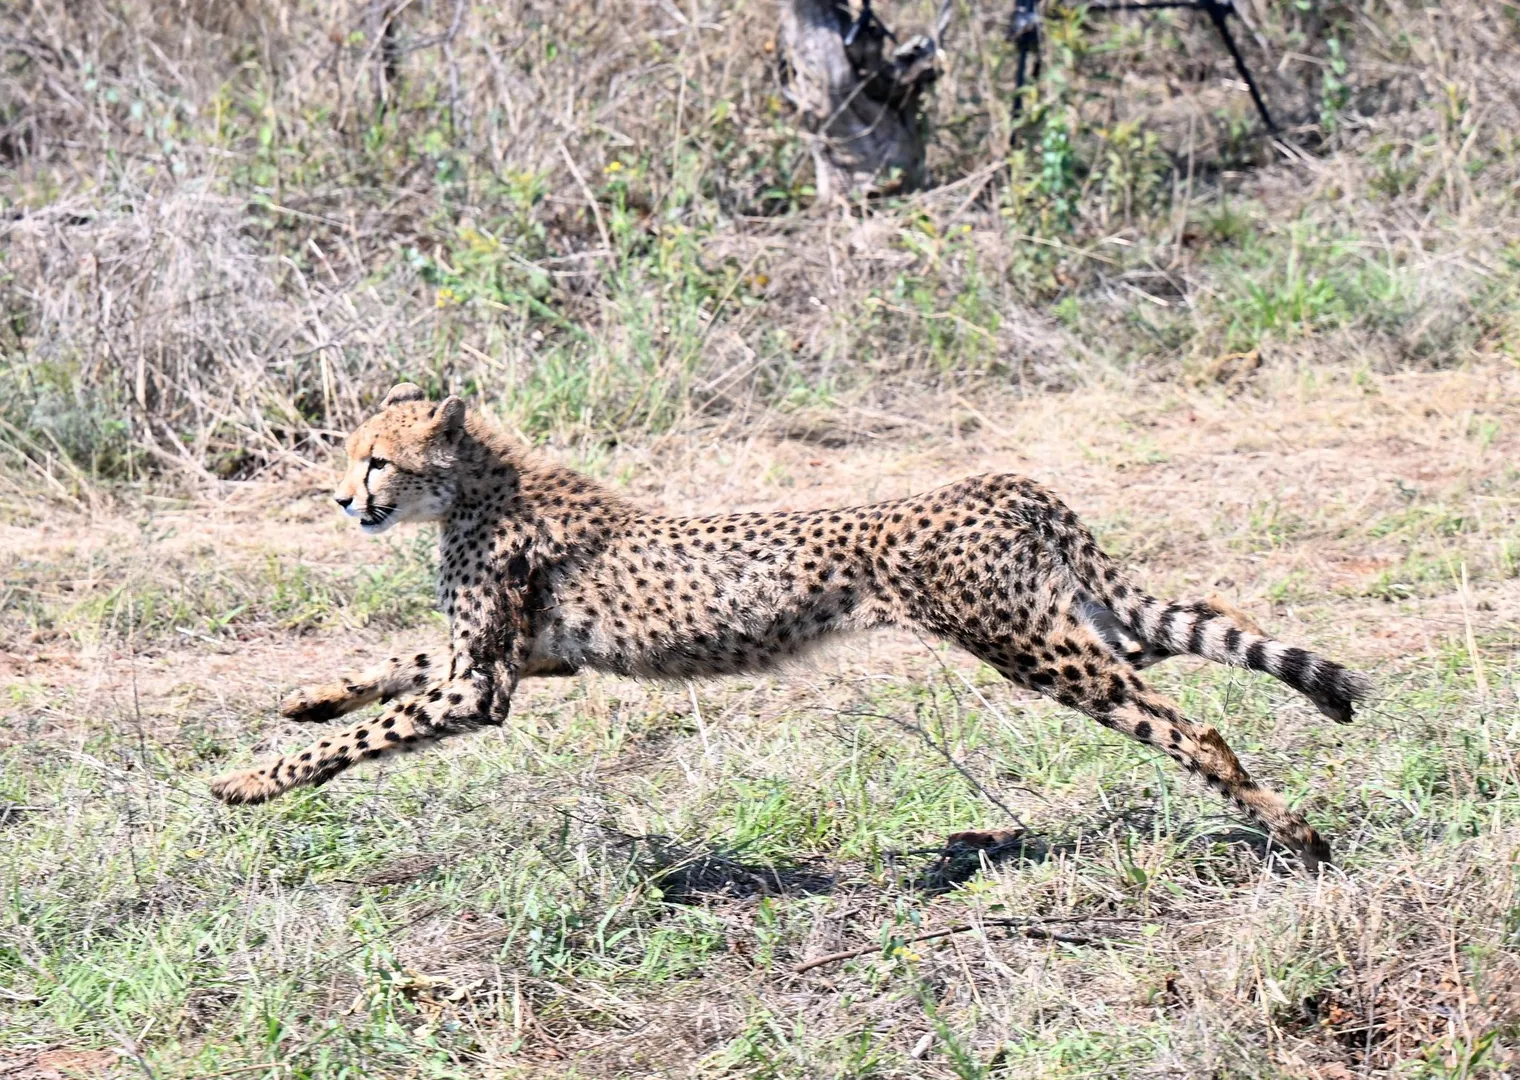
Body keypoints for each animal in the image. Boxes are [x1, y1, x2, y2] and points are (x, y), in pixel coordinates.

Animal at [210, 383, 1371, 870]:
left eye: (376, 460)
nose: (341, 500)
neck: (475, 487)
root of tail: (997, 481)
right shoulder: (528, 659)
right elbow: (390, 665)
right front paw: (305, 694)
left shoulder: (483, 684)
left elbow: (365, 733)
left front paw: (251, 781)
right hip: (1077, 620)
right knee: (1192, 628)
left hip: (1031, 646)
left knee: (1194, 729)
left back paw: (1297, 833)